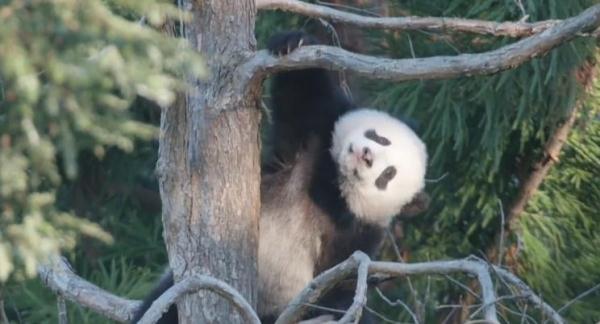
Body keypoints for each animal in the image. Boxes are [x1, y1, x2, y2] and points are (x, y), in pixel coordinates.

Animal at [132, 31, 426, 324]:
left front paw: (337, 302)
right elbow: (303, 97)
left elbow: (342, 279)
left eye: (388, 175)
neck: (333, 185)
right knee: (163, 306)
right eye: (381, 137)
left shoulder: (360, 231)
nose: (366, 155)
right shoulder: (312, 141)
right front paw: (292, 42)